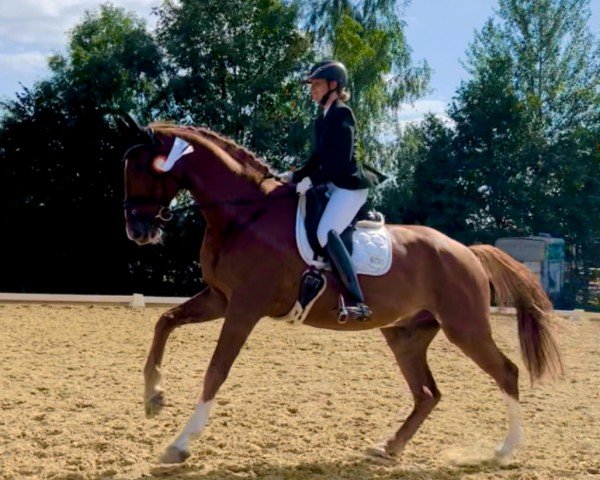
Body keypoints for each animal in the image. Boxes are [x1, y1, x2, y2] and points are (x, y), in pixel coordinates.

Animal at [120, 117, 564, 464]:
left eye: (143, 167)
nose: (137, 231)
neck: (245, 214)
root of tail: (466, 251)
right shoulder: (220, 297)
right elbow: (164, 321)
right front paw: (152, 397)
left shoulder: (245, 306)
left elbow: (216, 370)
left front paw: (180, 443)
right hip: (405, 335)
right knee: (427, 394)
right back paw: (389, 447)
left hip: (464, 327)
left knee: (506, 373)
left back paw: (504, 451)